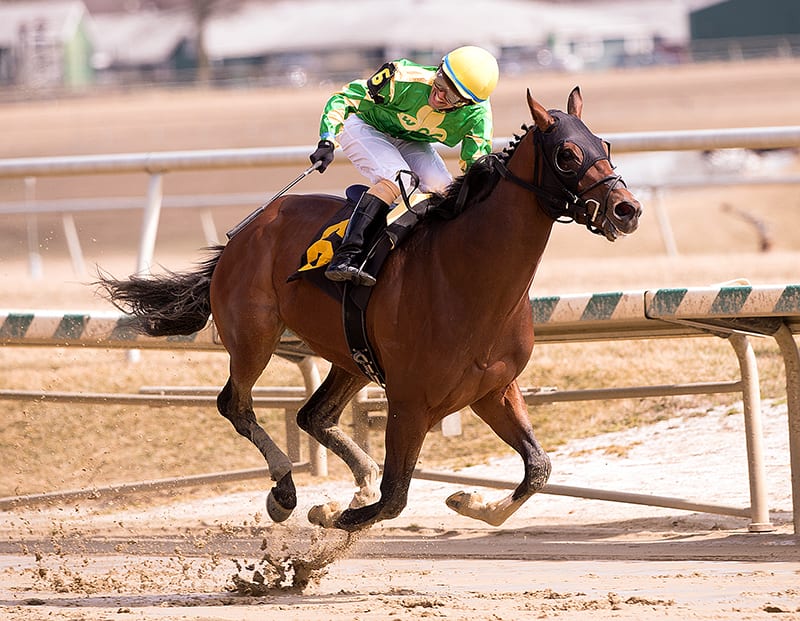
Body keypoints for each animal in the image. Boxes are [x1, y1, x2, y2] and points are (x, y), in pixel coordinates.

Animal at [95, 87, 644, 532]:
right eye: (568, 153)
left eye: (605, 145)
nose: (627, 209)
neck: (469, 278)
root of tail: (245, 231)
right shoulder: (410, 402)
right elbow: (394, 498)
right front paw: (332, 520)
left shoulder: (493, 390)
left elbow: (538, 469)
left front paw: (469, 503)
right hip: (253, 336)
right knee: (236, 404)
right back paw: (285, 491)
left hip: (350, 356)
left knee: (313, 415)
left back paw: (352, 477)